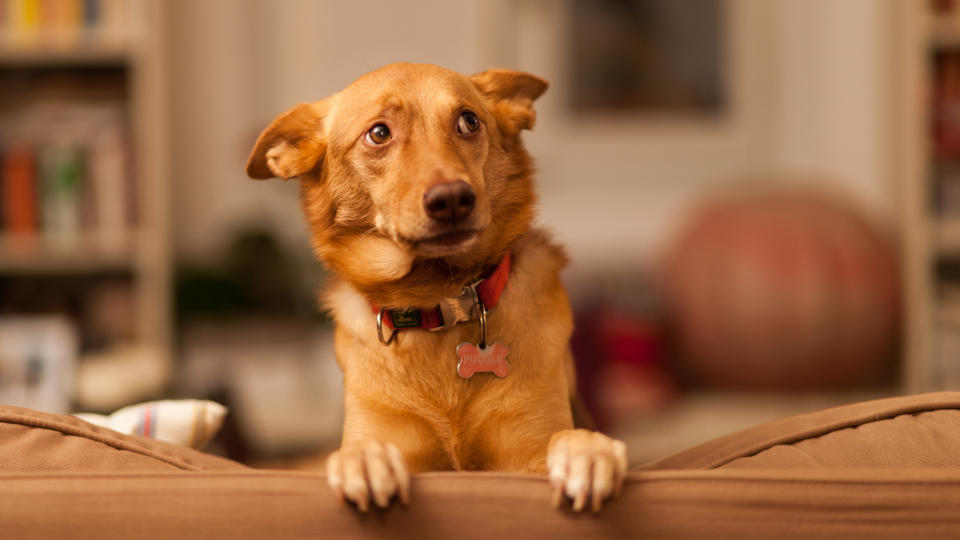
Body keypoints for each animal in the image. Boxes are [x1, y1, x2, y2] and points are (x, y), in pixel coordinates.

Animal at [244, 61, 628, 512]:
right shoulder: (389, 433)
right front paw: (364, 460)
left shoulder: (526, 451)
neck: (438, 301)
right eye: (379, 133)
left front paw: (588, 450)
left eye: (469, 121)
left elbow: (565, 438)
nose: (452, 199)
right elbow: (363, 448)